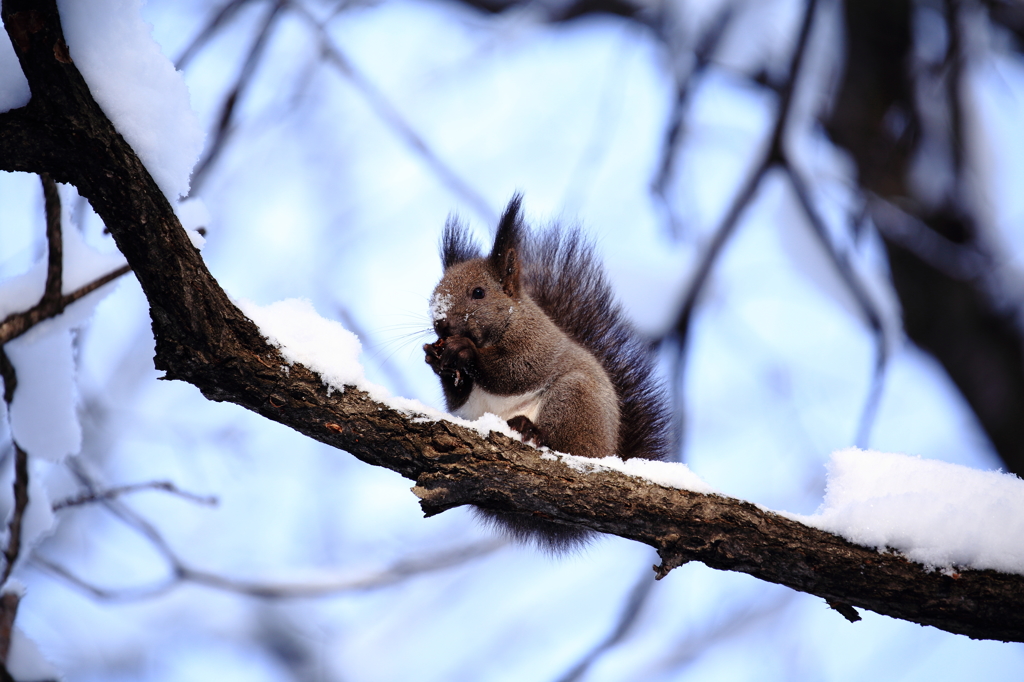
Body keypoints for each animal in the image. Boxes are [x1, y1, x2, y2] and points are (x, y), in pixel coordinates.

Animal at [419, 193, 667, 548]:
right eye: (435, 292)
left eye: (478, 292)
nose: (440, 324)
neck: (509, 321)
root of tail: (611, 453)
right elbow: (457, 399)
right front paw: (435, 359)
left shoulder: (538, 345)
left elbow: (515, 372)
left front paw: (464, 351)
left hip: (574, 399)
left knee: (565, 444)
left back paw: (531, 430)